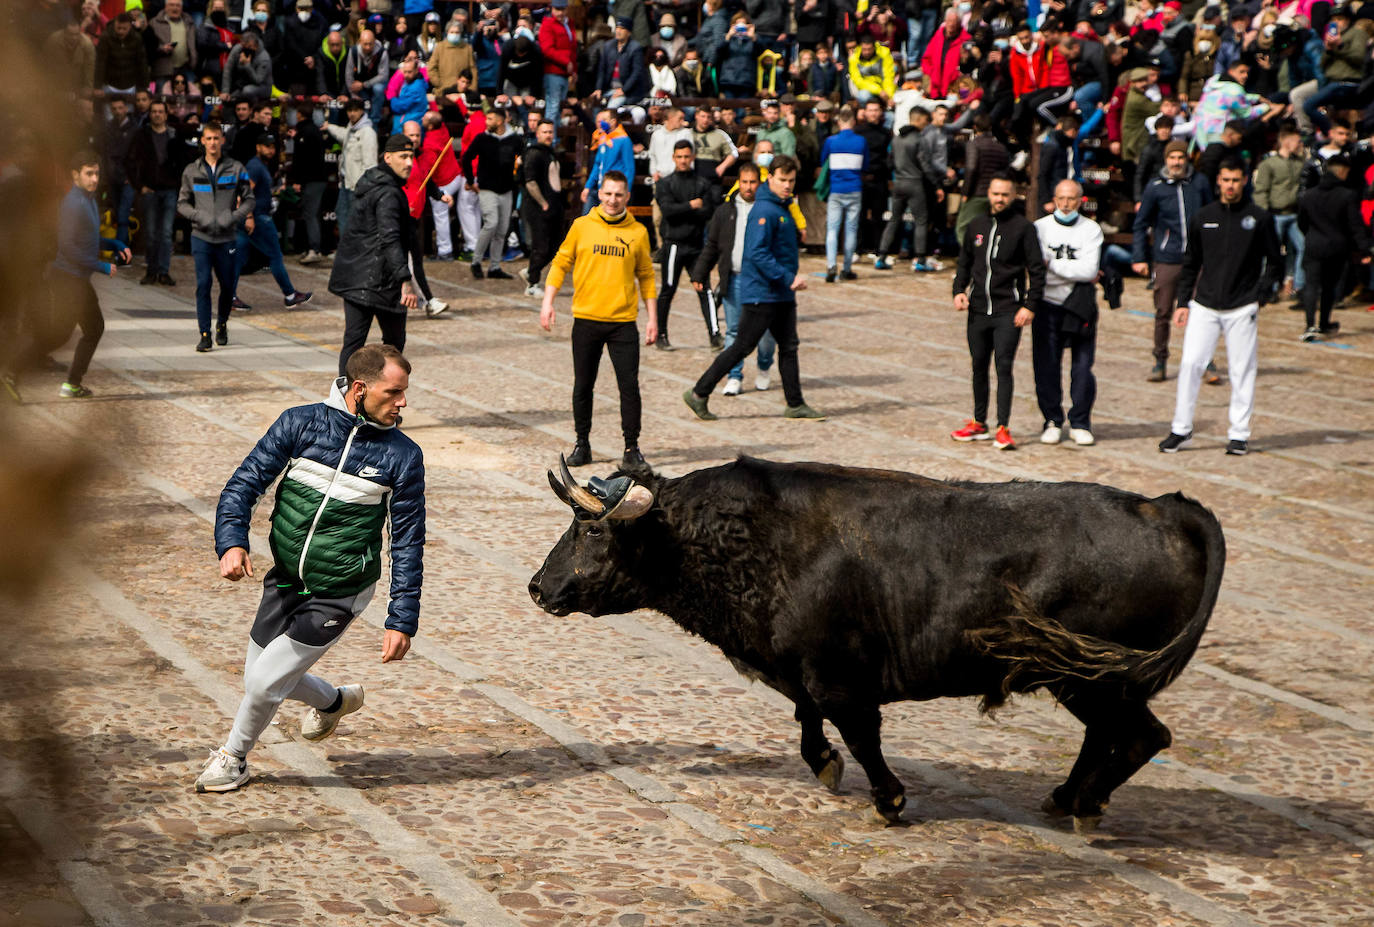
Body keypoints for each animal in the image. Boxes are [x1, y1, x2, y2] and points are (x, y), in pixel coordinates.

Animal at [524, 455, 1225, 829]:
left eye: (592, 532)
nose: (537, 587)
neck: (751, 542)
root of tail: (1165, 508)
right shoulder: (803, 667)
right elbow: (806, 717)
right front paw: (823, 764)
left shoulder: (840, 678)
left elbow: (859, 735)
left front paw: (888, 798)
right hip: (1082, 681)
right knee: (1110, 736)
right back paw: (1065, 797)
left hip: (1096, 677)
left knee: (1142, 736)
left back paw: (1084, 802)